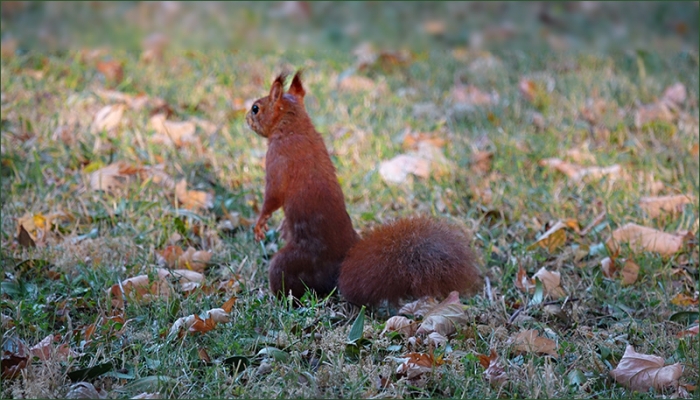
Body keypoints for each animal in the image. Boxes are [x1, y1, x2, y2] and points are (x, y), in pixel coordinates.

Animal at [246, 70, 483, 306]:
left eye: (256, 108)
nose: (246, 118)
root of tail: (340, 265)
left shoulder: (277, 159)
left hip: (291, 262)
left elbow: (273, 195)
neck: (295, 127)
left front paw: (260, 223)